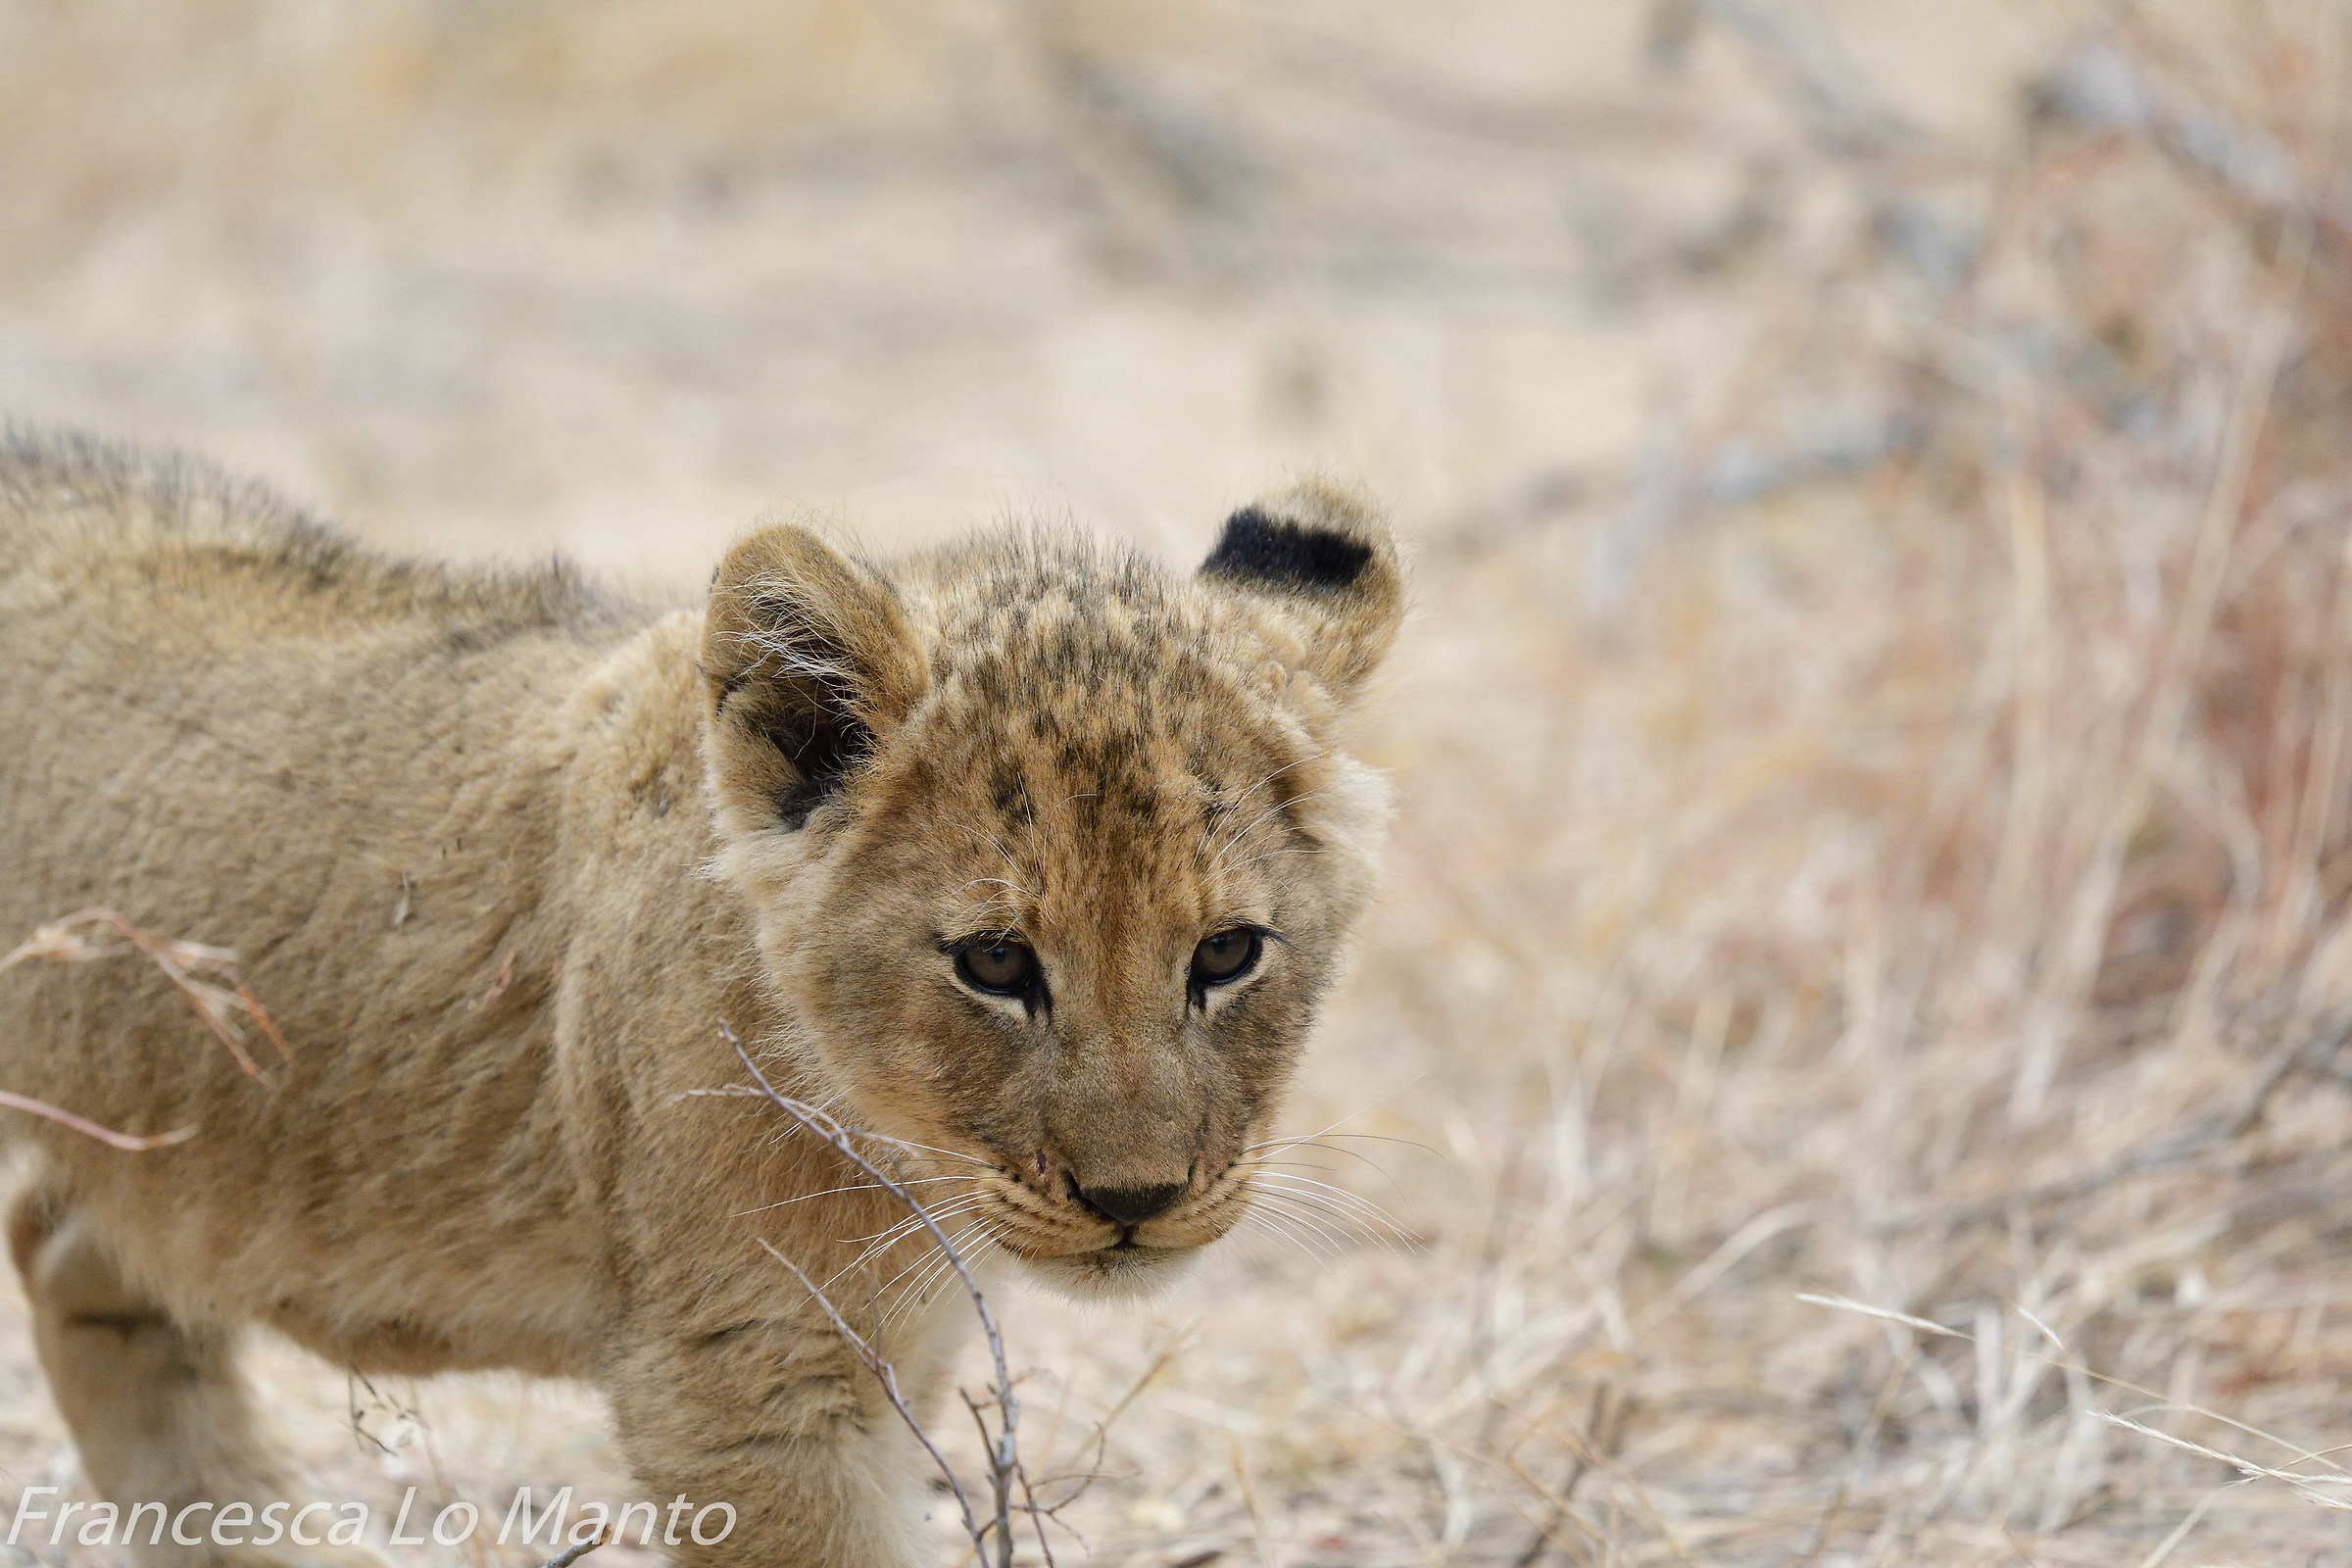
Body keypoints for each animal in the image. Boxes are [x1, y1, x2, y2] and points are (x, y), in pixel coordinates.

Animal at [0, 430, 1405, 1568]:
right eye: (998, 964)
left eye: (1226, 954)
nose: (1137, 1203)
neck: (899, 1150)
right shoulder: (742, 1386)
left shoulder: (900, 1353)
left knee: (70, 1249)